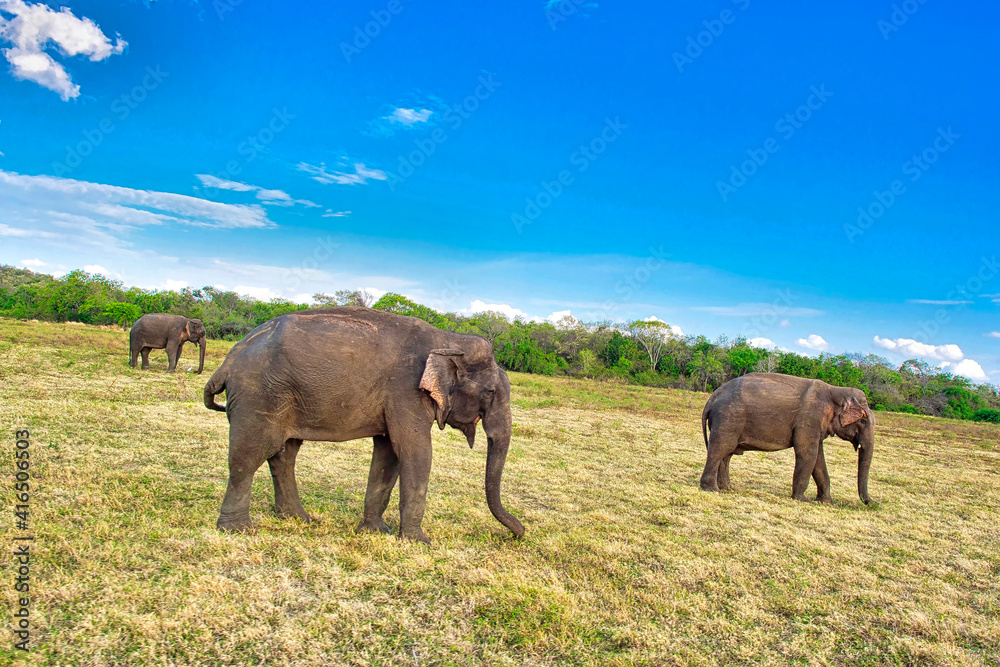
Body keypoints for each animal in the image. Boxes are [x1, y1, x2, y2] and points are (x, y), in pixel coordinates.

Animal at [203, 307, 524, 544]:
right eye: (490, 392)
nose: (518, 534)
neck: (448, 339)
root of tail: (230, 357)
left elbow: (388, 453)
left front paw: (375, 531)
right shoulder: (405, 391)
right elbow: (415, 451)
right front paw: (419, 542)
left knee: (284, 454)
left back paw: (298, 518)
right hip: (258, 393)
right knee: (250, 455)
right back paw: (237, 529)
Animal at [699, 373, 875, 504]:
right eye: (863, 421)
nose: (872, 503)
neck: (835, 390)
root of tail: (713, 396)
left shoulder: (816, 426)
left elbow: (818, 459)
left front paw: (827, 502)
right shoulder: (809, 419)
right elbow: (808, 454)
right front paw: (802, 499)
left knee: (726, 454)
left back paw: (727, 488)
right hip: (728, 418)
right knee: (720, 449)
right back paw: (712, 489)